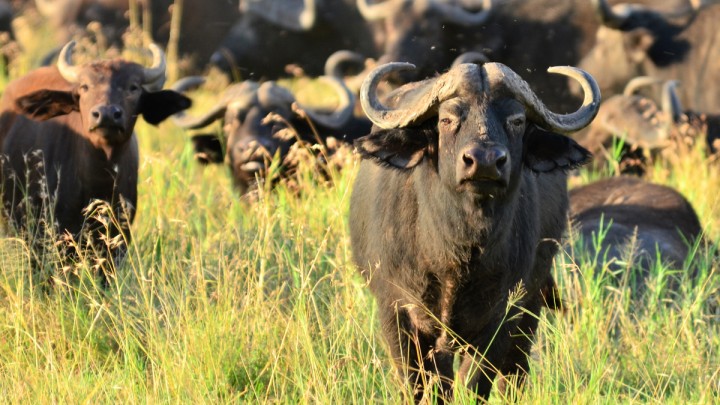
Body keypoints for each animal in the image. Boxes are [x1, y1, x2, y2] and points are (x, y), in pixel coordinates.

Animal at [349, 61, 600, 401]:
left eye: (517, 120)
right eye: (446, 119)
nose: (484, 161)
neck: (456, 252)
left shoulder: (502, 317)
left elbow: (475, 384)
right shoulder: (396, 313)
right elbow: (420, 386)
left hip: (531, 305)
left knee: (515, 373)